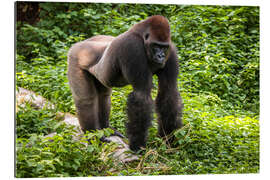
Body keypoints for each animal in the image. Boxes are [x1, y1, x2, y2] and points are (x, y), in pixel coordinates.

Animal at [67, 15, 184, 151]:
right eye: (156, 46)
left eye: (164, 47)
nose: (161, 56)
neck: (141, 36)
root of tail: (81, 43)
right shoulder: (132, 47)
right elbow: (141, 95)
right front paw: (137, 146)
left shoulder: (172, 51)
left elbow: (168, 93)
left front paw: (168, 139)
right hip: (75, 56)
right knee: (86, 100)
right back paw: (93, 136)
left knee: (103, 96)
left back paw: (105, 128)